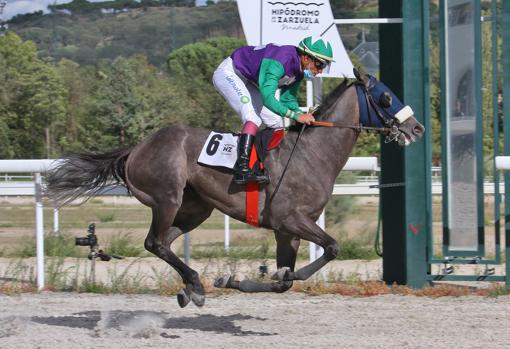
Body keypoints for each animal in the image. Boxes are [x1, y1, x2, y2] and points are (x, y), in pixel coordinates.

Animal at [45, 72, 424, 306]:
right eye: (385, 97)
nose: (416, 128)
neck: (311, 153)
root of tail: (135, 149)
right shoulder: (290, 219)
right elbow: (330, 248)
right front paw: (275, 272)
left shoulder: (288, 232)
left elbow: (285, 282)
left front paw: (237, 280)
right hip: (167, 197)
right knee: (154, 242)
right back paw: (195, 284)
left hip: (196, 209)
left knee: (164, 243)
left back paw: (190, 288)